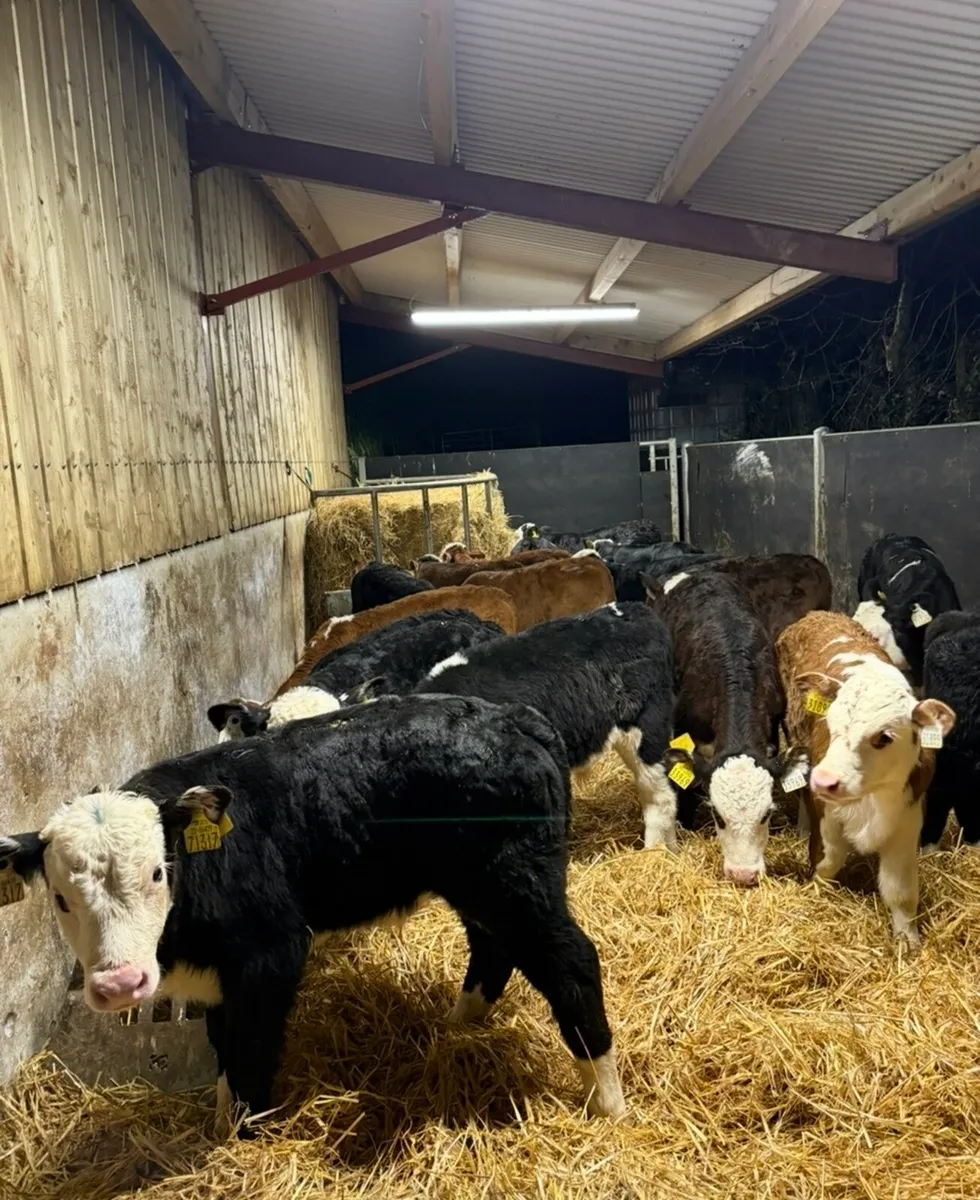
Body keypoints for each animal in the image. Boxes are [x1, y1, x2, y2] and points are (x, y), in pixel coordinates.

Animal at [0, 696, 626, 1123]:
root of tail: (516, 718)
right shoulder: (222, 978)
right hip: (482, 886)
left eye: (158, 872)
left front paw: (242, 1135)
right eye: (61, 899)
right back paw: (458, 1023)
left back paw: (606, 1098)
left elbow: (249, 1054)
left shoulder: (271, 952)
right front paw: (222, 1116)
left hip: (518, 882)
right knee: (492, 946)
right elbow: (223, 1045)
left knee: (570, 962)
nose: (121, 984)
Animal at [776, 610, 956, 945]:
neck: (871, 799)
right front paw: (815, 892)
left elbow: (901, 890)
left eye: (884, 737)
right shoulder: (827, 815)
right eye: (830, 722)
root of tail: (818, 614)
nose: (824, 780)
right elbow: (827, 861)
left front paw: (908, 940)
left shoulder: (907, 817)